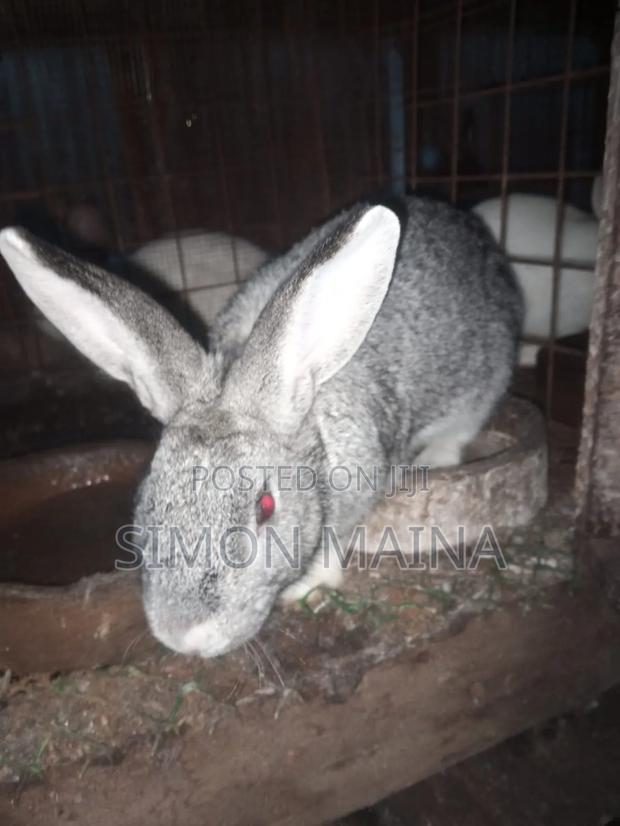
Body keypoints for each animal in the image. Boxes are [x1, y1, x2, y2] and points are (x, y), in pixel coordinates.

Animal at [0, 195, 522, 658]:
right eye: (146, 497)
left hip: (480, 382)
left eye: (265, 507)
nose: (182, 637)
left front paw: (308, 589)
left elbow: (331, 545)